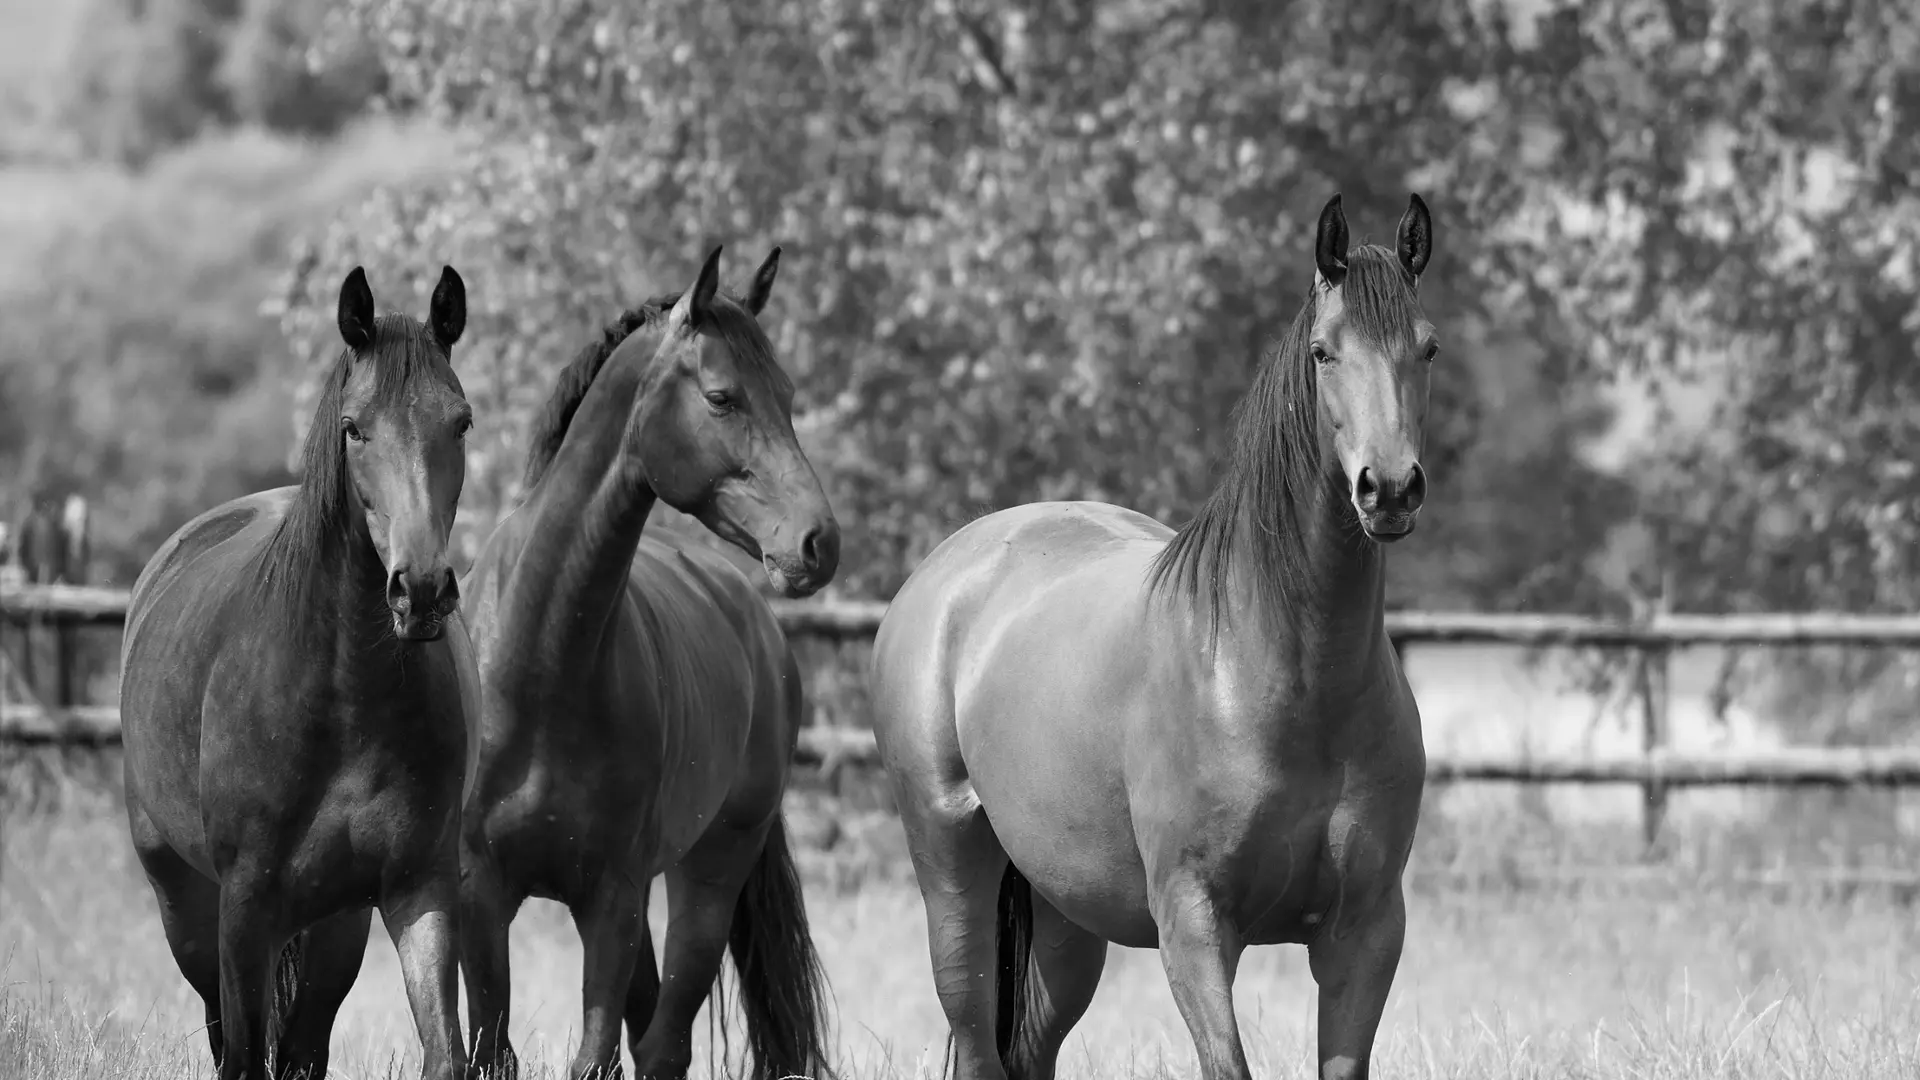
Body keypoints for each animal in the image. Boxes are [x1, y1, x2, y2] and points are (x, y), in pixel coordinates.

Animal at [120, 264, 477, 1080]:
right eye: (354, 429)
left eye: (462, 423)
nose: (422, 590)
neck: (341, 694)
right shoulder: (245, 909)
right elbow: (243, 1055)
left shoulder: (419, 890)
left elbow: (443, 1051)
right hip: (187, 909)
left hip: (334, 929)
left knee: (305, 1044)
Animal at [458, 244, 840, 1080]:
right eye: (723, 396)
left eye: (791, 396)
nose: (818, 543)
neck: (540, 663)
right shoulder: (481, 896)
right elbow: (492, 1049)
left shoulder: (613, 898)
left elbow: (597, 1055)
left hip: (706, 878)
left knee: (664, 1042)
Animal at [868, 192, 1439, 1080]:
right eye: (1323, 352)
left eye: (1428, 347)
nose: (1389, 489)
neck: (1285, 680)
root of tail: (945, 572)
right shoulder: (1193, 925)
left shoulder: (1366, 932)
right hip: (952, 873)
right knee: (976, 1038)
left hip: (1067, 917)